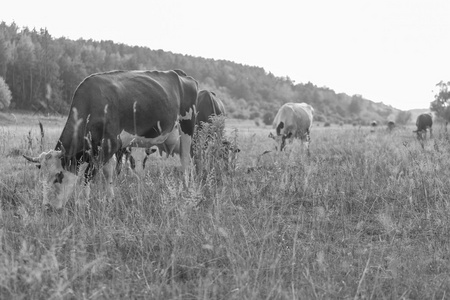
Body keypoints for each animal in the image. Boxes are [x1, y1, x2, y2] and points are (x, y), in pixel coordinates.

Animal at [22, 70, 198, 211]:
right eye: (41, 177)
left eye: (58, 176)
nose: (47, 207)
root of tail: (179, 73)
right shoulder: (104, 149)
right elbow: (108, 172)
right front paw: (109, 199)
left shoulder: (109, 145)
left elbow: (88, 175)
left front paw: (82, 203)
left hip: (187, 127)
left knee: (185, 160)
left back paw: (186, 188)